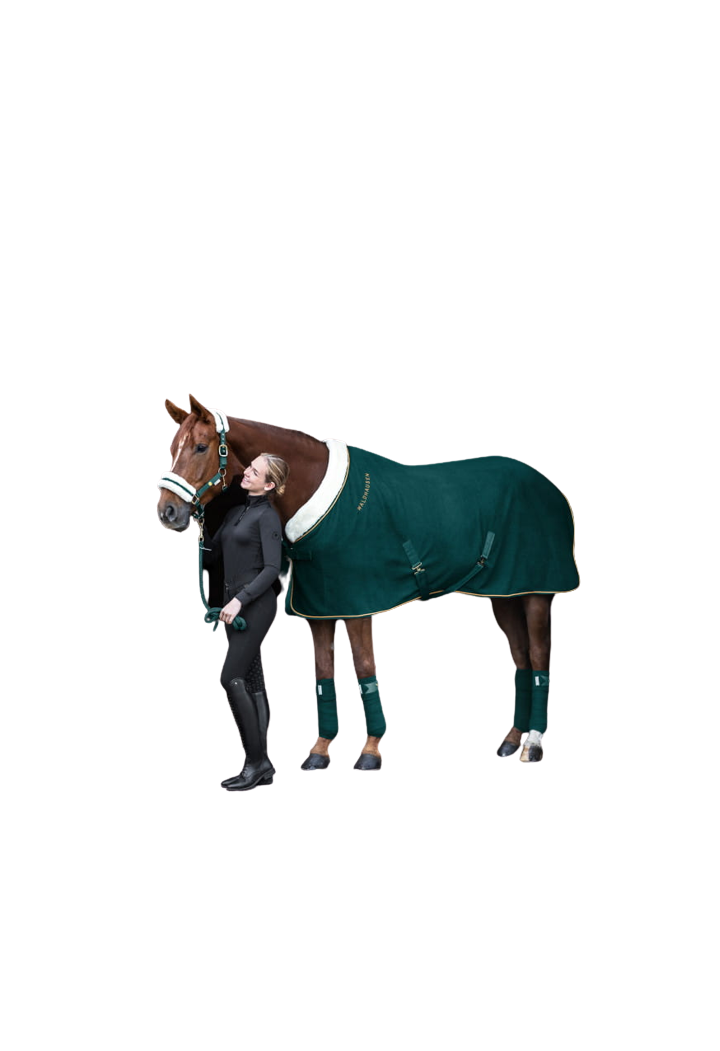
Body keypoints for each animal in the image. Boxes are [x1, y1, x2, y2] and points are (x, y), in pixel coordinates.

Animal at [156, 394, 579, 768]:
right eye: (173, 447)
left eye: (200, 447)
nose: (168, 512)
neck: (319, 497)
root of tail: (552, 489)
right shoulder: (320, 611)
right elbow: (323, 674)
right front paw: (319, 751)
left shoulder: (358, 608)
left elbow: (363, 670)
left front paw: (370, 751)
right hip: (505, 594)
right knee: (521, 658)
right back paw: (511, 740)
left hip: (538, 595)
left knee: (539, 658)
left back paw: (533, 746)